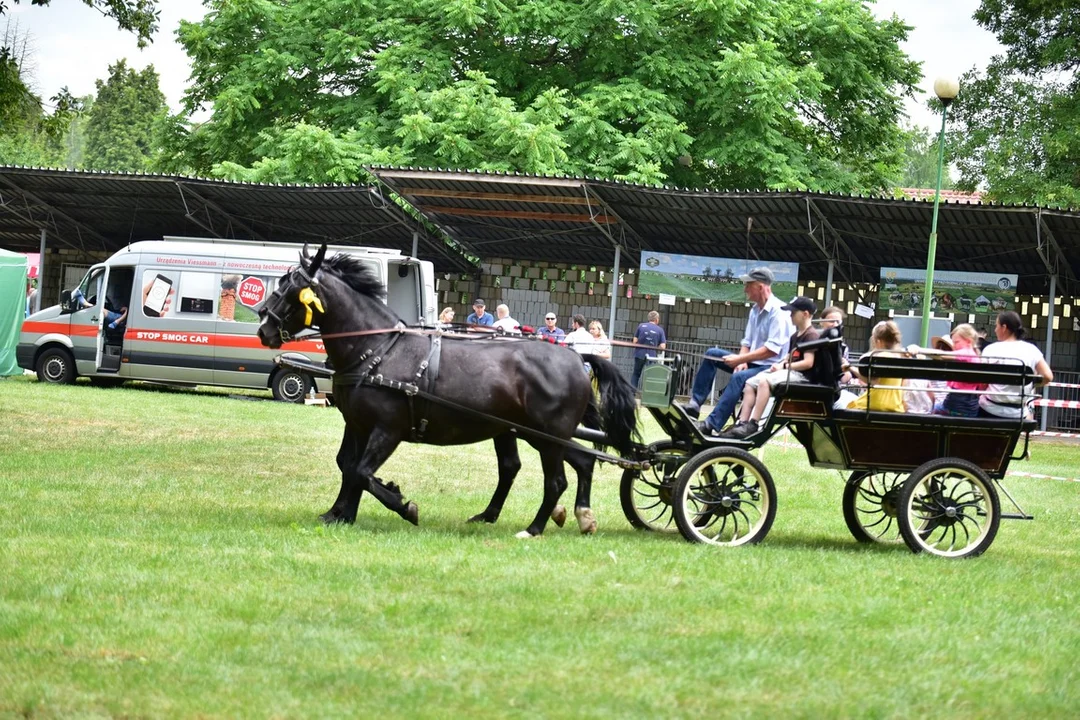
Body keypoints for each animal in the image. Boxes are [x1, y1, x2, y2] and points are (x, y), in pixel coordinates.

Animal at [255, 245, 635, 537]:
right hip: (536, 434)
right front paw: (340, 514)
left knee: (555, 481)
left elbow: (362, 471)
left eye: (290, 289)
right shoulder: (358, 424)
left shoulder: (387, 429)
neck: (377, 348)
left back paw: (534, 528)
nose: (263, 327)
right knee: (575, 462)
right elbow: (347, 466)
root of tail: (575, 357)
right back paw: (579, 516)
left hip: (547, 436)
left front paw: (403, 504)